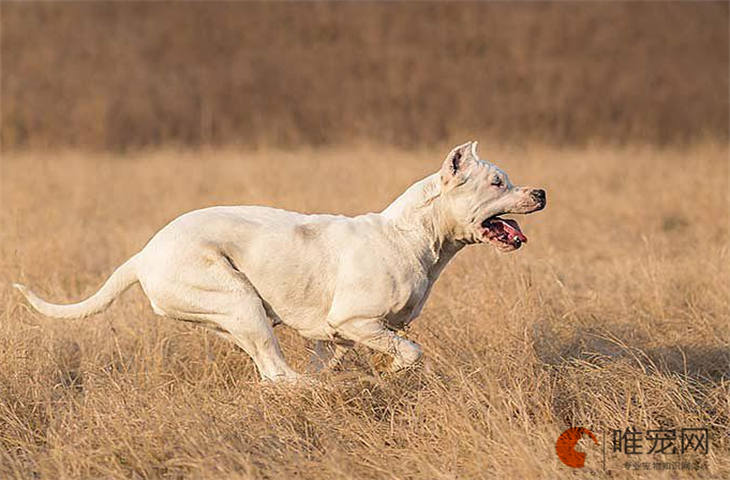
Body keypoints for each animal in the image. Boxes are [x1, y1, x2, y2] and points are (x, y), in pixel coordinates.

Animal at [14, 141, 544, 380]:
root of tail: (144, 254)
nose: (540, 192)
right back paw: (320, 392)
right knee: (277, 373)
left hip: (233, 317)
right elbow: (410, 351)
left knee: (272, 369)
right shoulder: (356, 321)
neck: (412, 235)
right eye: (497, 182)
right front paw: (390, 374)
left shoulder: (336, 338)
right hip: (239, 302)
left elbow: (346, 356)